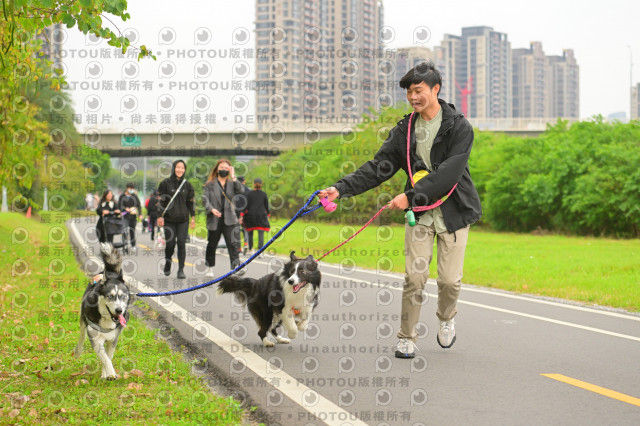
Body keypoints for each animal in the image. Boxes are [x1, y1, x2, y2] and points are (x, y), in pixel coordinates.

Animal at [74, 243, 131, 379]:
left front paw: (106, 374)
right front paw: (110, 372)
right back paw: (78, 351)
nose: (119, 310)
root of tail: (111, 272)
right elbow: (105, 358)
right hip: (83, 321)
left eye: (123, 297)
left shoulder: (113, 338)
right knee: (82, 336)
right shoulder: (95, 338)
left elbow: (108, 356)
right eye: (110, 296)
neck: (107, 319)